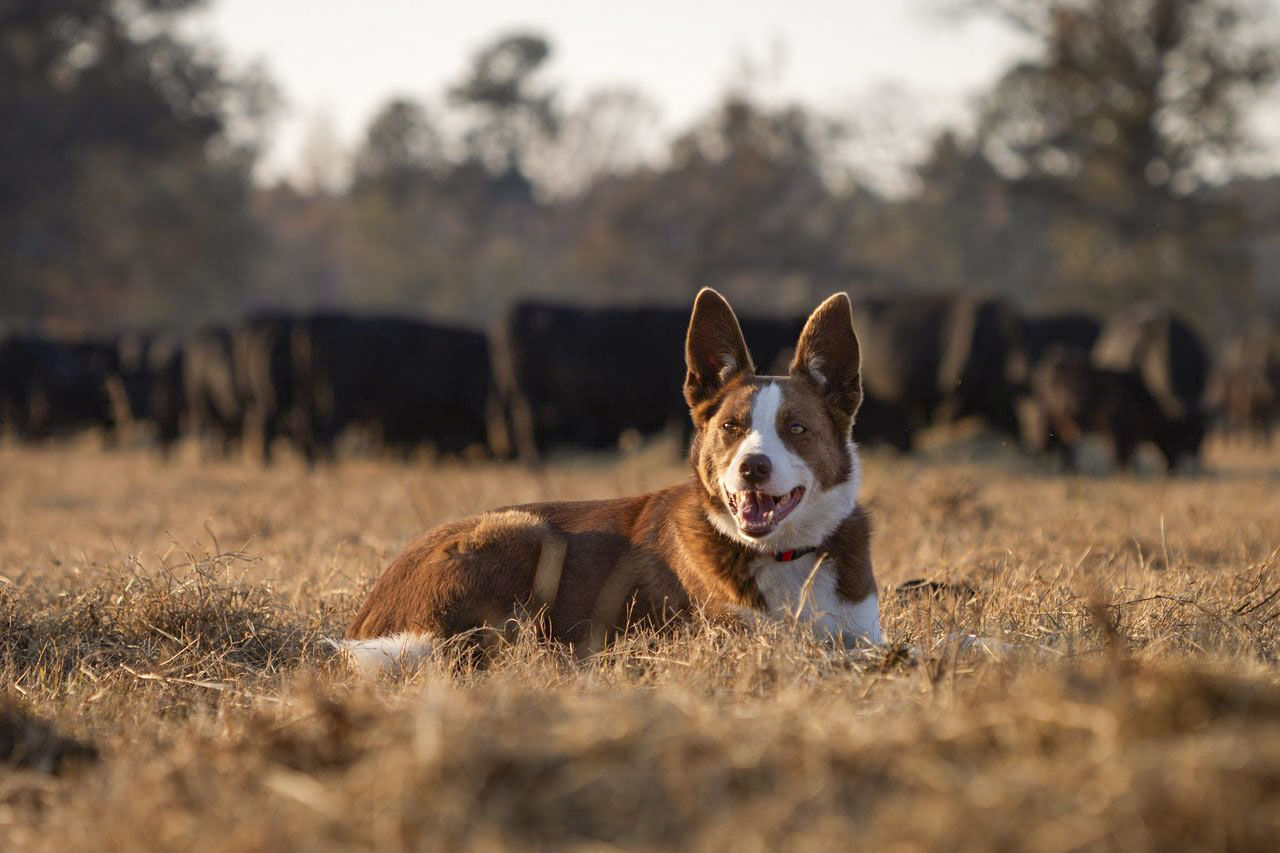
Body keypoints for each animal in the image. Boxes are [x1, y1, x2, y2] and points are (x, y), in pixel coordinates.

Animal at [340, 289, 880, 666]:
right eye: (732, 427)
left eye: (797, 429)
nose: (753, 467)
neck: (784, 554)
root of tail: (367, 617)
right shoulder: (736, 638)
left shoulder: (863, 633)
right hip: (522, 531)